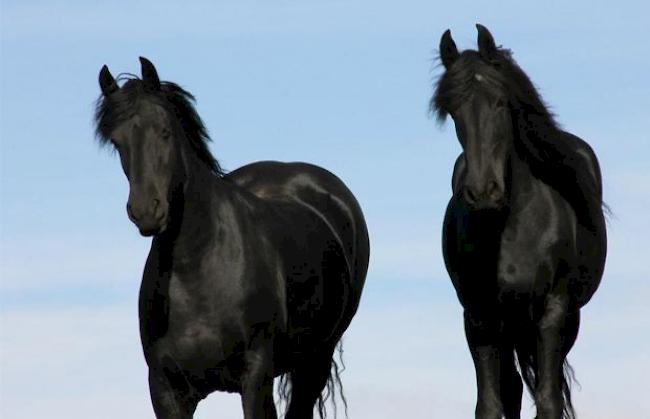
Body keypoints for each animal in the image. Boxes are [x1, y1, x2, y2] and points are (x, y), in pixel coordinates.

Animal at [95, 56, 370, 419]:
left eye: (164, 131)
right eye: (117, 142)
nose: (145, 211)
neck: (197, 270)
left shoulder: (255, 377)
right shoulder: (166, 389)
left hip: (316, 360)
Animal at [432, 26, 604, 419]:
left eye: (499, 101)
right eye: (453, 110)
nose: (483, 192)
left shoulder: (553, 311)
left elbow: (548, 399)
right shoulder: (479, 316)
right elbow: (490, 402)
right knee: (510, 388)